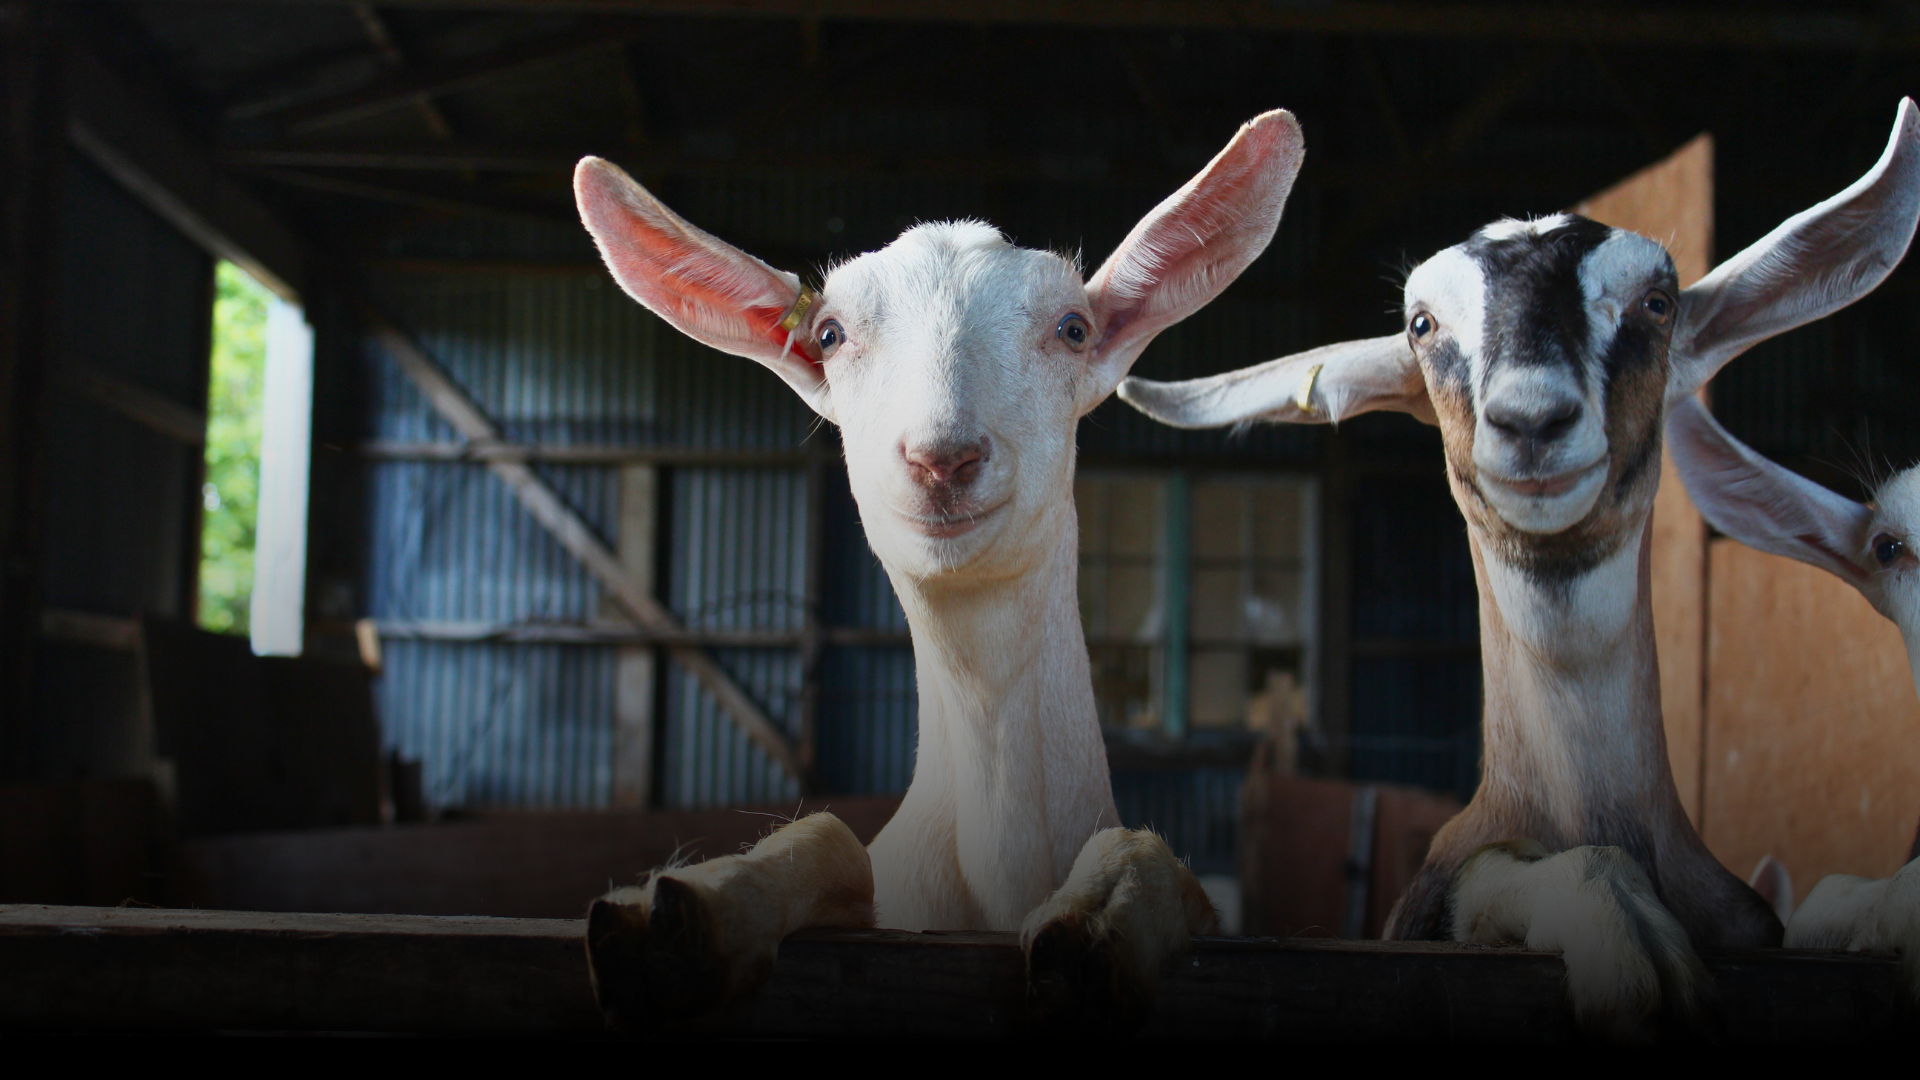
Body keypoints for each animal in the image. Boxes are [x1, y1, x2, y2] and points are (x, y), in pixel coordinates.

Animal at [570, 111, 1304, 1031]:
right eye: (829, 334)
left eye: (1072, 327)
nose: (941, 456)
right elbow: (830, 837)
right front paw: (684, 918)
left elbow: (1151, 861)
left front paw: (1098, 928)